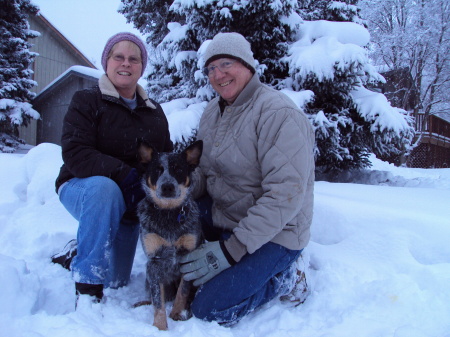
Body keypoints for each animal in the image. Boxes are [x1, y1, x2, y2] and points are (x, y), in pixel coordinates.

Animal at [134, 140, 203, 330]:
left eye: (178, 169)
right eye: (157, 169)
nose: (167, 186)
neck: (168, 214)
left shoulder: (189, 256)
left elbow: (183, 291)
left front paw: (177, 314)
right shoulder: (154, 261)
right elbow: (158, 301)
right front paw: (159, 327)